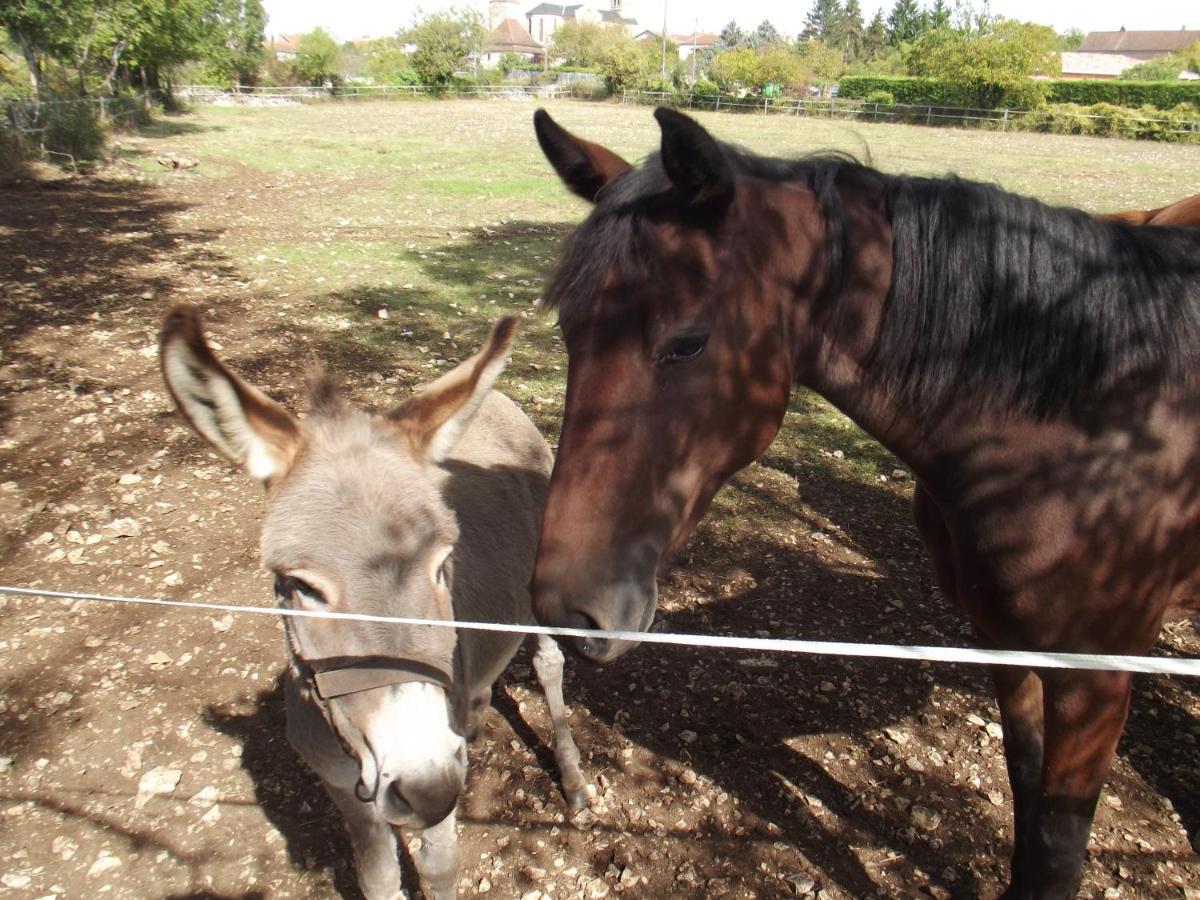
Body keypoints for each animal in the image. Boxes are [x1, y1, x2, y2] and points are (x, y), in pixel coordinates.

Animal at [162, 307, 588, 897]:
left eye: (442, 563)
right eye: (300, 586)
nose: (428, 784)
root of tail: (498, 399)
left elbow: (440, 869)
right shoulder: (345, 792)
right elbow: (377, 878)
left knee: (549, 662)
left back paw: (572, 780)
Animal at [530, 107, 1200, 900]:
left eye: (687, 344)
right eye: (569, 331)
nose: (566, 609)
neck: (1090, 421)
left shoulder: (1094, 683)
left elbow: (1057, 848)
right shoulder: (1005, 643)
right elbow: (1026, 791)